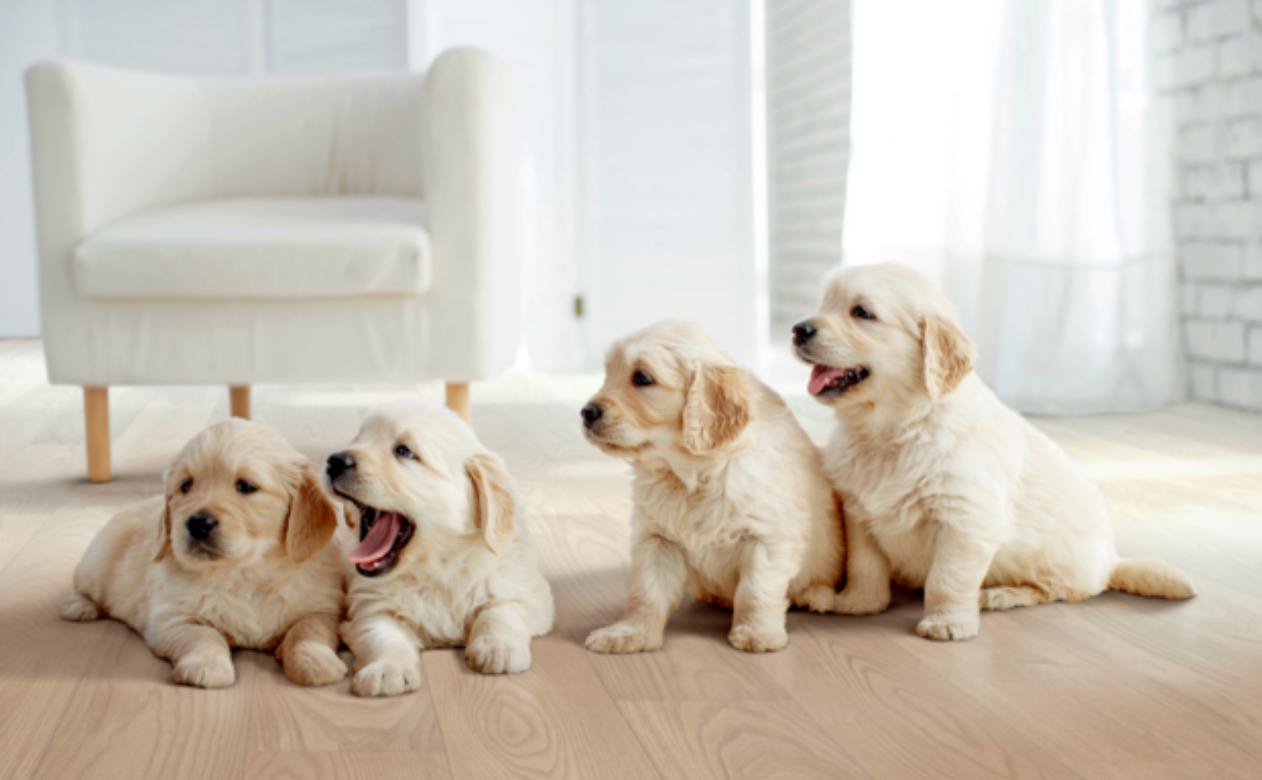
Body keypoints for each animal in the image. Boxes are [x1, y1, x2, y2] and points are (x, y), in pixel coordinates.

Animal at [61, 419, 348, 686]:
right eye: (186, 486)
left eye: (246, 486)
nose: (197, 522)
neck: (245, 573)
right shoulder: (171, 619)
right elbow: (204, 635)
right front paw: (206, 667)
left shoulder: (321, 607)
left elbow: (308, 630)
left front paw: (316, 663)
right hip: (99, 559)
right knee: (83, 584)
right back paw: (79, 605)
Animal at [330, 398, 552, 696]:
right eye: (358, 439)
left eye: (404, 451)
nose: (334, 460)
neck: (437, 568)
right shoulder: (370, 607)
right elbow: (382, 637)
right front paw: (387, 669)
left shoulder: (527, 592)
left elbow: (500, 610)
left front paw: (498, 648)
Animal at [583, 319, 848, 651]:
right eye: (608, 374)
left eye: (642, 378)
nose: (586, 412)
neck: (690, 474)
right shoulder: (657, 538)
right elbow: (646, 592)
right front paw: (631, 633)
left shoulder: (768, 536)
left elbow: (755, 589)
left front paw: (756, 634)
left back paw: (815, 595)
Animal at [792, 263, 1196, 641]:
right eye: (823, 304)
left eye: (862, 312)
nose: (798, 329)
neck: (892, 428)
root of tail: (1111, 561)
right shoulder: (859, 510)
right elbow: (865, 565)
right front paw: (859, 603)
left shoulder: (966, 518)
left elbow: (947, 578)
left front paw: (947, 622)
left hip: (1053, 559)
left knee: (1060, 590)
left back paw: (1001, 595)